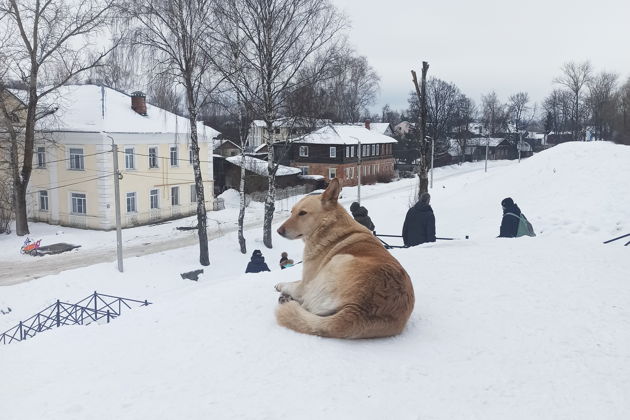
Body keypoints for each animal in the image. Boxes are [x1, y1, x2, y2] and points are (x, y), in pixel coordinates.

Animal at [276, 177, 414, 338]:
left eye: (302, 213)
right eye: (292, 212)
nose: (278, 231)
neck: (327, 228)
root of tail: (357, 310)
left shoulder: (306, 282)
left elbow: (293, 284)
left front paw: (280, 285)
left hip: (338, 260)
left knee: (304, 303)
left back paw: (285, 299)